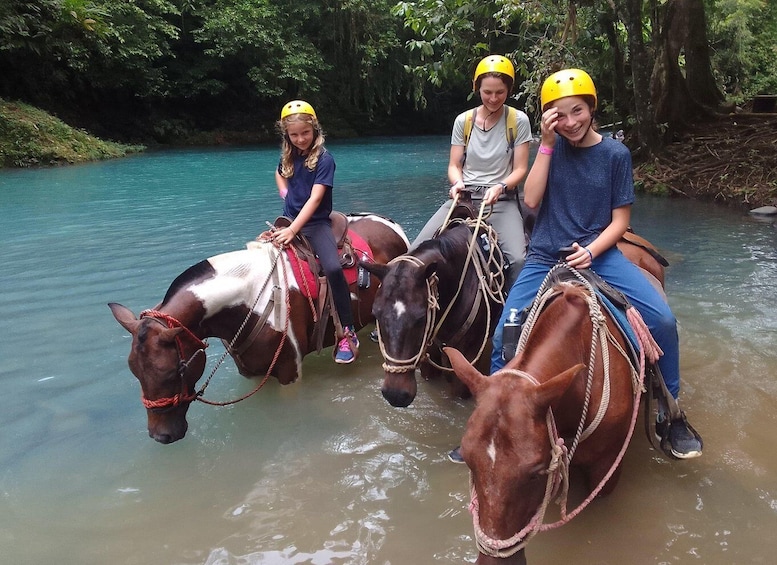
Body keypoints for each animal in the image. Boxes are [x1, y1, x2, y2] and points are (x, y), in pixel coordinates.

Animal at [113, 214, 412, 442]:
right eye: (134, 371)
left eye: (176, 370)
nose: (161, 436)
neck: (249, 299)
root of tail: (391, 225)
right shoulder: (251, 370)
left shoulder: (290, 372)